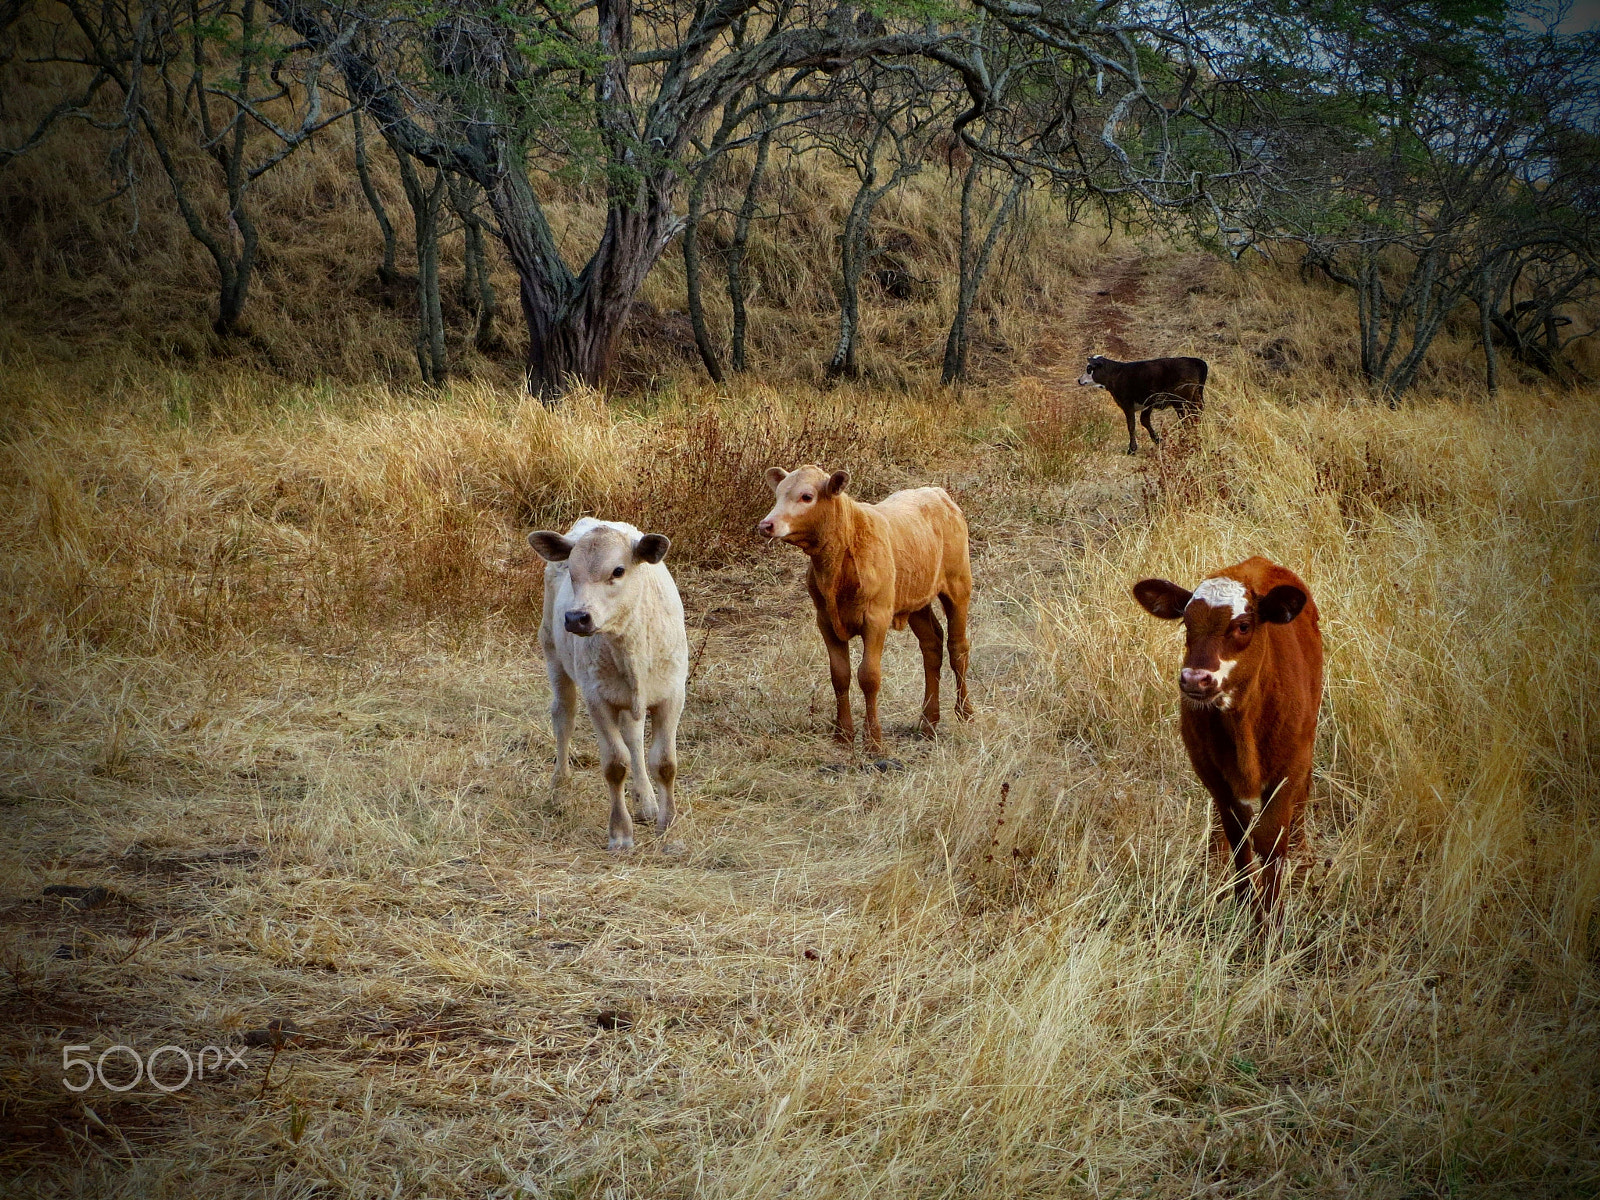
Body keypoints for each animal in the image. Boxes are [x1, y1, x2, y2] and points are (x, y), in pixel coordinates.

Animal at [528, 521, 684, 851]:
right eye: (572, 572)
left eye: (618, 571)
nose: (576, 617)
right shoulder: (597, 698)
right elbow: (615, 764)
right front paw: (621, 834)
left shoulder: (673, 695)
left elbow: (665, 763)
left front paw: (668, 828)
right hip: (553, 652)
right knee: (564, 717)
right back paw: (559, 790)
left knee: (633, 736)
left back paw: (646, 801)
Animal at [1139, 556, 1324, 921]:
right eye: (1186, 623)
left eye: (1243, 626)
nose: (1195, 678)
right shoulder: (1211, 771)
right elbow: (1239, 835)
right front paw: (1245, 904)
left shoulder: (1290, 766)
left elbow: (1270, 839)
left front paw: (1269, 920)